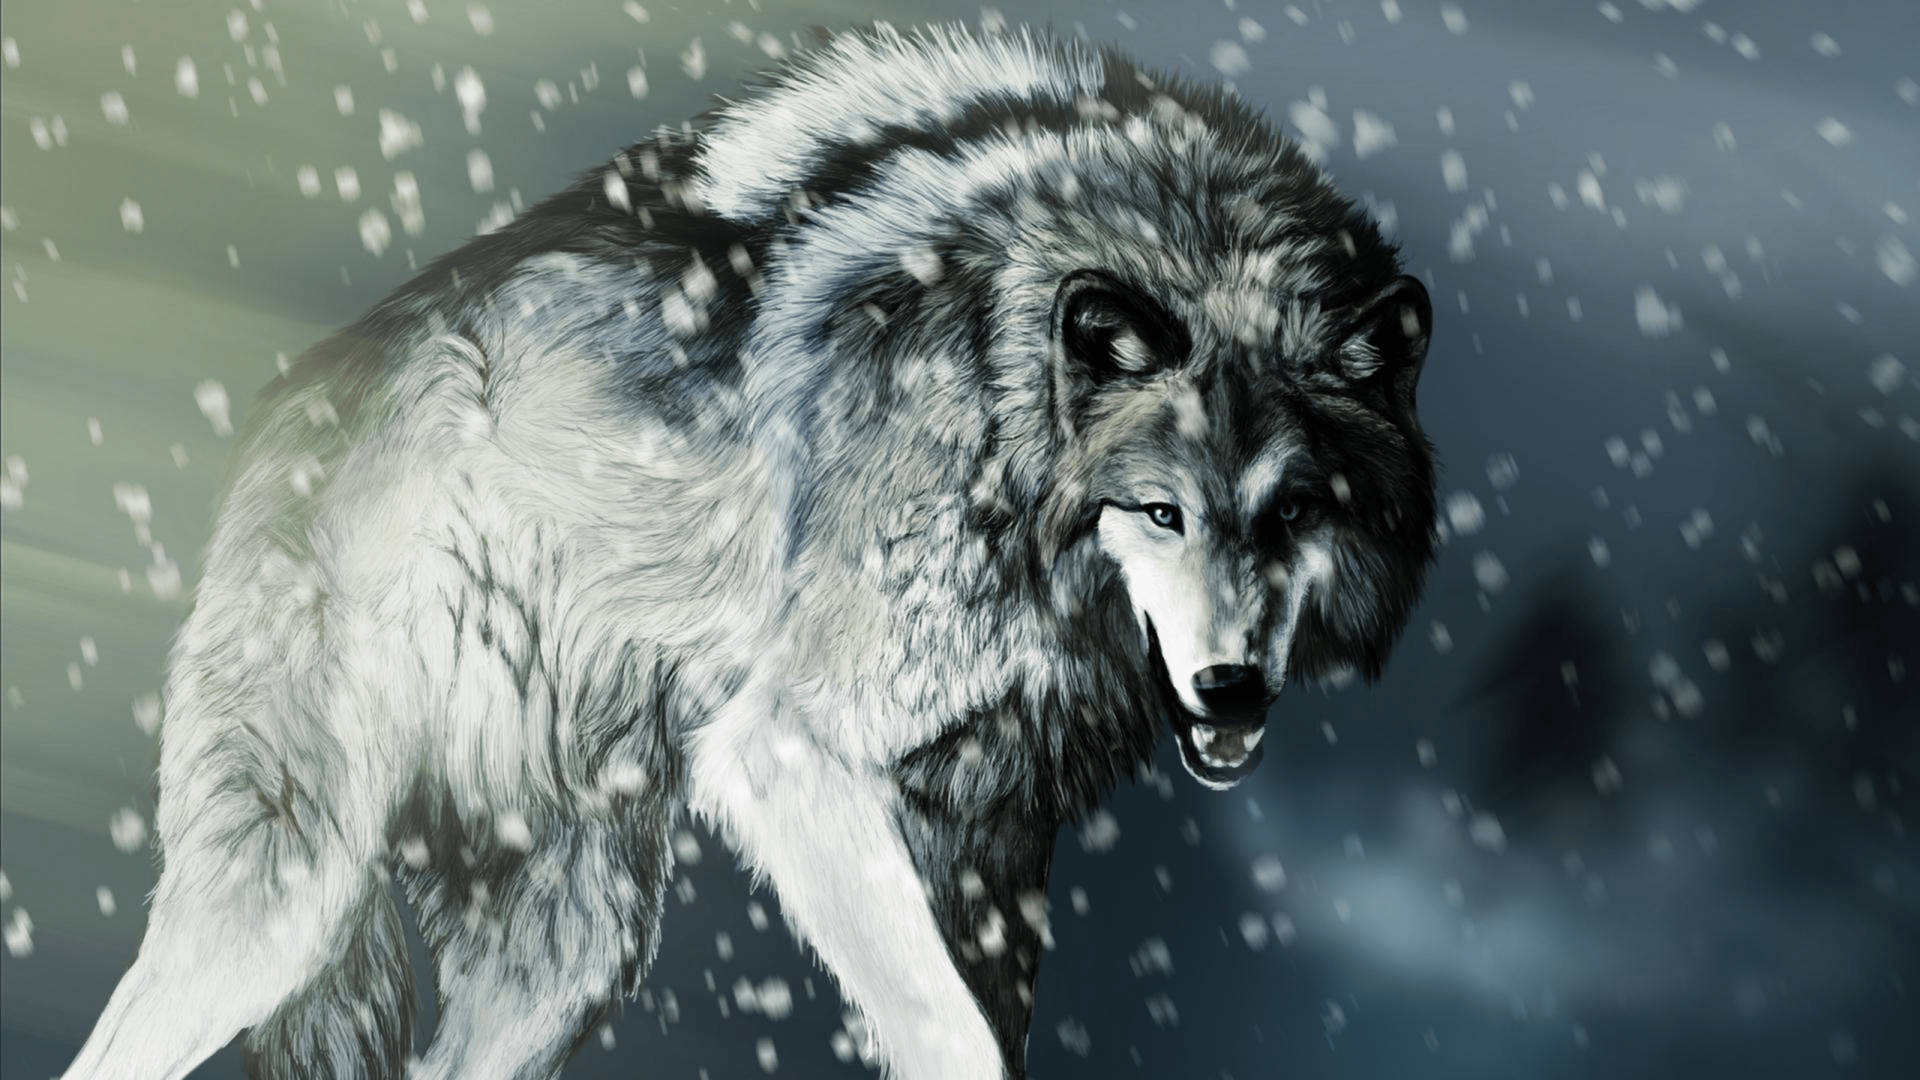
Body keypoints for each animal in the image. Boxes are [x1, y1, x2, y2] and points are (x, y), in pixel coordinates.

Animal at [62, 21, 1439, 1080]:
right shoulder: (792, 752)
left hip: (578, 950)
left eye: (1295, 511)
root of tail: (298, 394)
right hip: (286, 901)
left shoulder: (990, 845)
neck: (1004, 406)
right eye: (1161, 512)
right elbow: (949, 1033)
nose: (1231, 689)